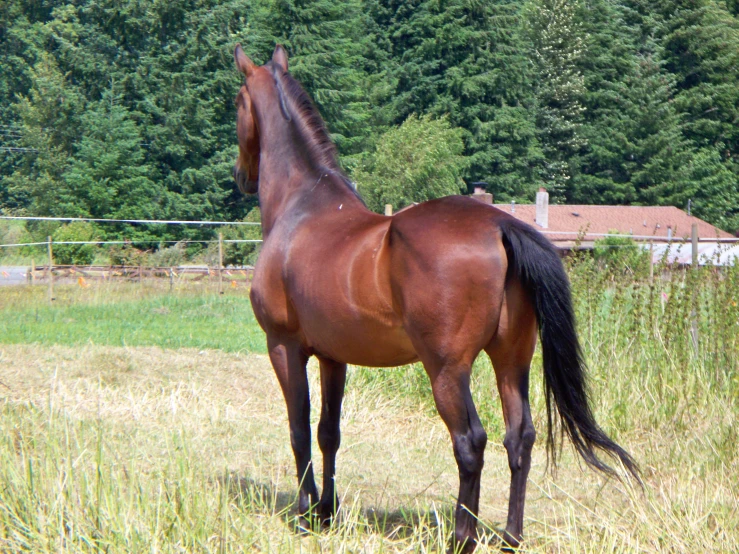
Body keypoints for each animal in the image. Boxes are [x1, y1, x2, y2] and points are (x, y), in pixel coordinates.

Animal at [234, 45, 640, 548]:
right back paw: (510, 535)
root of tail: (499, 225)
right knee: (518, 437)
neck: (302, 205)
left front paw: (307, 513)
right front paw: (329, 511)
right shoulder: (334, 356)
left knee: (470, 443)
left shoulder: (284, 347)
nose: (241, 175)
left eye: (237, 103)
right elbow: (329, 431)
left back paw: (462, 537)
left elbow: (298, 429)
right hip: (511, 360)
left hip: (447, 370)